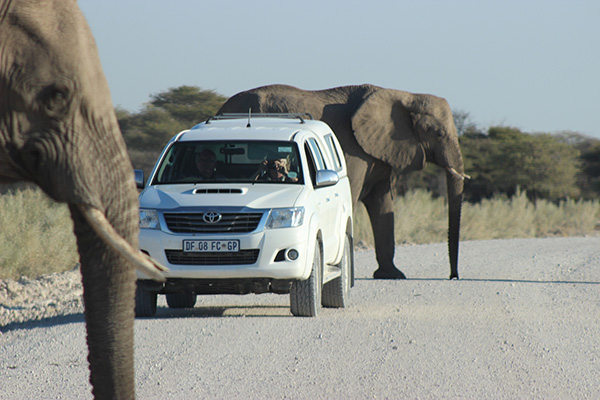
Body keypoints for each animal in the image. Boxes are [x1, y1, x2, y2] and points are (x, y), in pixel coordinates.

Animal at [218, 83, 466, 278]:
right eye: (438, 134)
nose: (453, 276)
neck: (403, 95)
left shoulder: (378, 150)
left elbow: (382, 203)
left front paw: (392, 275)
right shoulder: (353, 149)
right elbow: (355, 198)